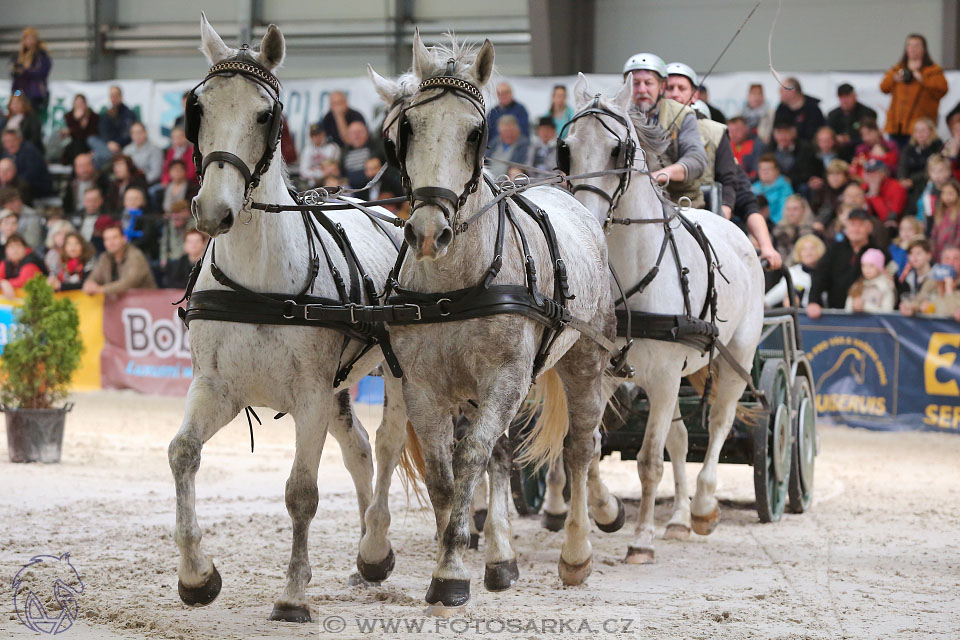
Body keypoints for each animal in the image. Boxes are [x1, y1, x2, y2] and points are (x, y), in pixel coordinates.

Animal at [170, 16, 408, 624]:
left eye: (264, 115)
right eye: (198, 108)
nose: (213, 211)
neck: (259, 280)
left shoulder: (309, 397)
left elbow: (301, 492)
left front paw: (294, 595)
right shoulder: (216, 387)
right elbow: (183, 455)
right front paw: (197, 576)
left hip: (394, 374)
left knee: (389, 444)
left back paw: (377, 548)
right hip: (339, 388)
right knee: (360, 449)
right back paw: (365, 559)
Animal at [368, 32, 624, 608]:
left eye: (476, 132)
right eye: (407, 131)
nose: (428, 232)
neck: (453, 284)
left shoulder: (505, 379)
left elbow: (470, 461)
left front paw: (450, 573)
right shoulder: (423, 386)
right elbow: (444, 475)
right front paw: (458, 555)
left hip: (583, 361)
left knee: (580, 447)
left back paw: (576, 552)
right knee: (504, 454)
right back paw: (502, 558)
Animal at [564, 75, 764, 564]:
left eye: (617, 151)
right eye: (568, 148)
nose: (584, 219)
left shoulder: (664, 376)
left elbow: (648, 460)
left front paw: (640, 540)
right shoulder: (608, 374)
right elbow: (591, 447)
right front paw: (607, 512)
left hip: (734, 359)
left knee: (718, 424)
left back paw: (704, 508)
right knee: (681, 439)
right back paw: (676, 520)